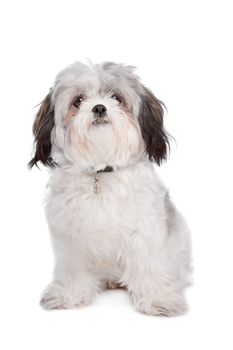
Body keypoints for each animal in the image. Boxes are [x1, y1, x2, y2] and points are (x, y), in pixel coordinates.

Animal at [29, 61, 191, 316]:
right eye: (78, 101)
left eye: (116, 97)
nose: (99, 108)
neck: (101, 173)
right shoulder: (71, 238)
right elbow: (73, 269)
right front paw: (68, 295)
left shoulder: (145, 232)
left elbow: (151, 265)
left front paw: (158, 299)